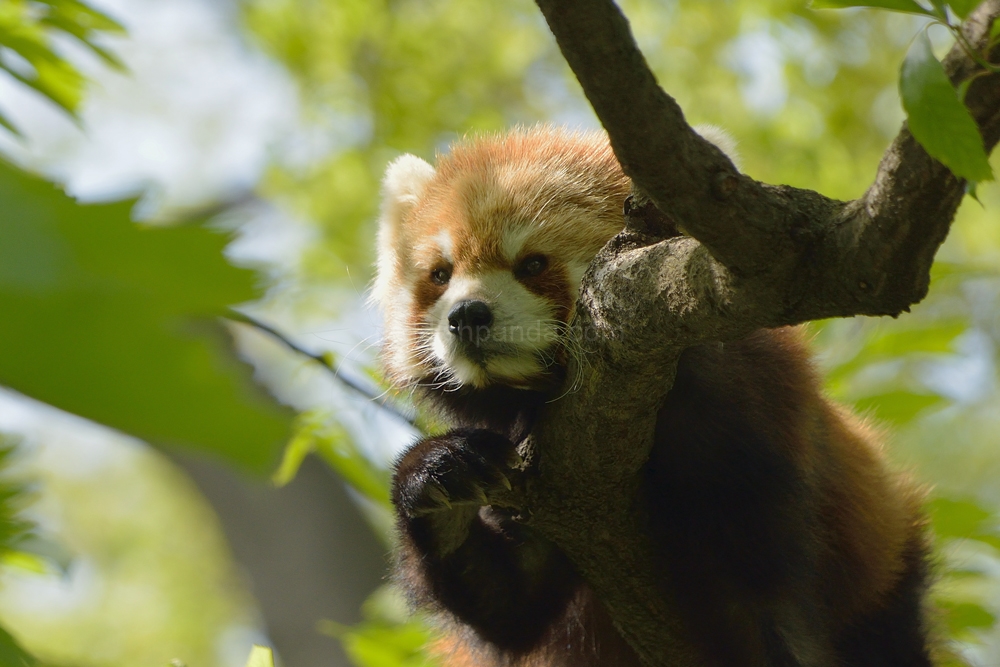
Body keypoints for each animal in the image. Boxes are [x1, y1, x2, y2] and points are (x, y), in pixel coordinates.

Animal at [372, 126, 932, 667]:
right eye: (440, 274)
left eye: (532, 264)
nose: (466, 315)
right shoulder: (540, 482)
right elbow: (510, 606)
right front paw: (438, 478)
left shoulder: (749, 434)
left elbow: (768, 607)